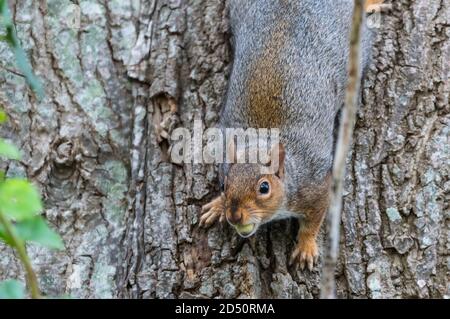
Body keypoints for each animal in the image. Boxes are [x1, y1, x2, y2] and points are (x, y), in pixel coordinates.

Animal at [200, 0, 384, 272]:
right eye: (223, 185)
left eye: (264, 187)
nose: (234, 215)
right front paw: (216, 206)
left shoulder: (315, 186)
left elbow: (314, 220)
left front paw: (306, 247)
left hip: (358, 45)